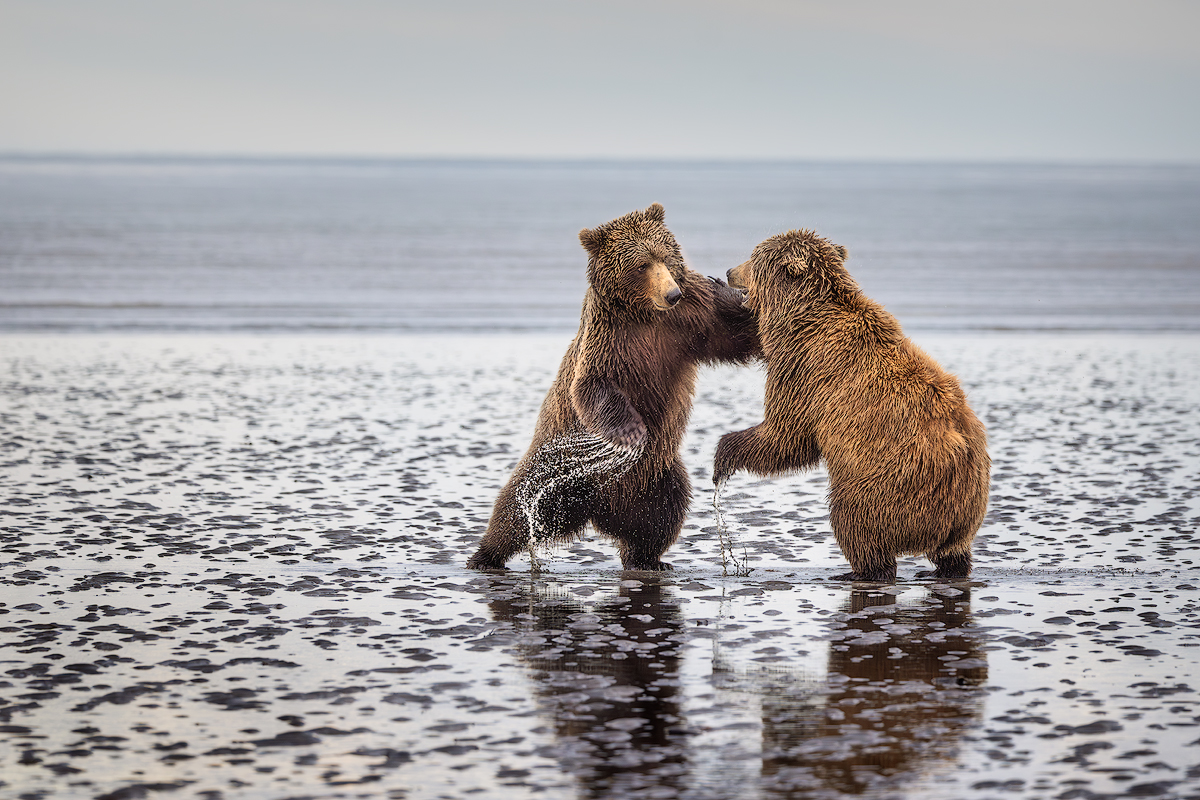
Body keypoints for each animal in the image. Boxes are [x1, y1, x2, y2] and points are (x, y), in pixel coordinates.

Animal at [467, 203, 759, 571]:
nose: (672, 293)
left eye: (665, 256)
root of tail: (601, 510)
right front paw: (632, 431)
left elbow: (735, 334)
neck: (646, 314)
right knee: (517, 506)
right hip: (556, 467)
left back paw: (648, 559)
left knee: (663, 514)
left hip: (656, 475)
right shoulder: (609, 338)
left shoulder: (691, 321)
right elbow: (592, 385)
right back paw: (484, 555)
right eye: (642, 264)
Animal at [712, 229, 989, 582]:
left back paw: (860, 571)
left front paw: (723, 455)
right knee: (954, 553)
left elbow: (787, 436)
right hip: (967, 511)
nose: (729, 272)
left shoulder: (804, 370)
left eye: (753, 257)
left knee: (854, 521)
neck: (804, 316)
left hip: (888, 484)